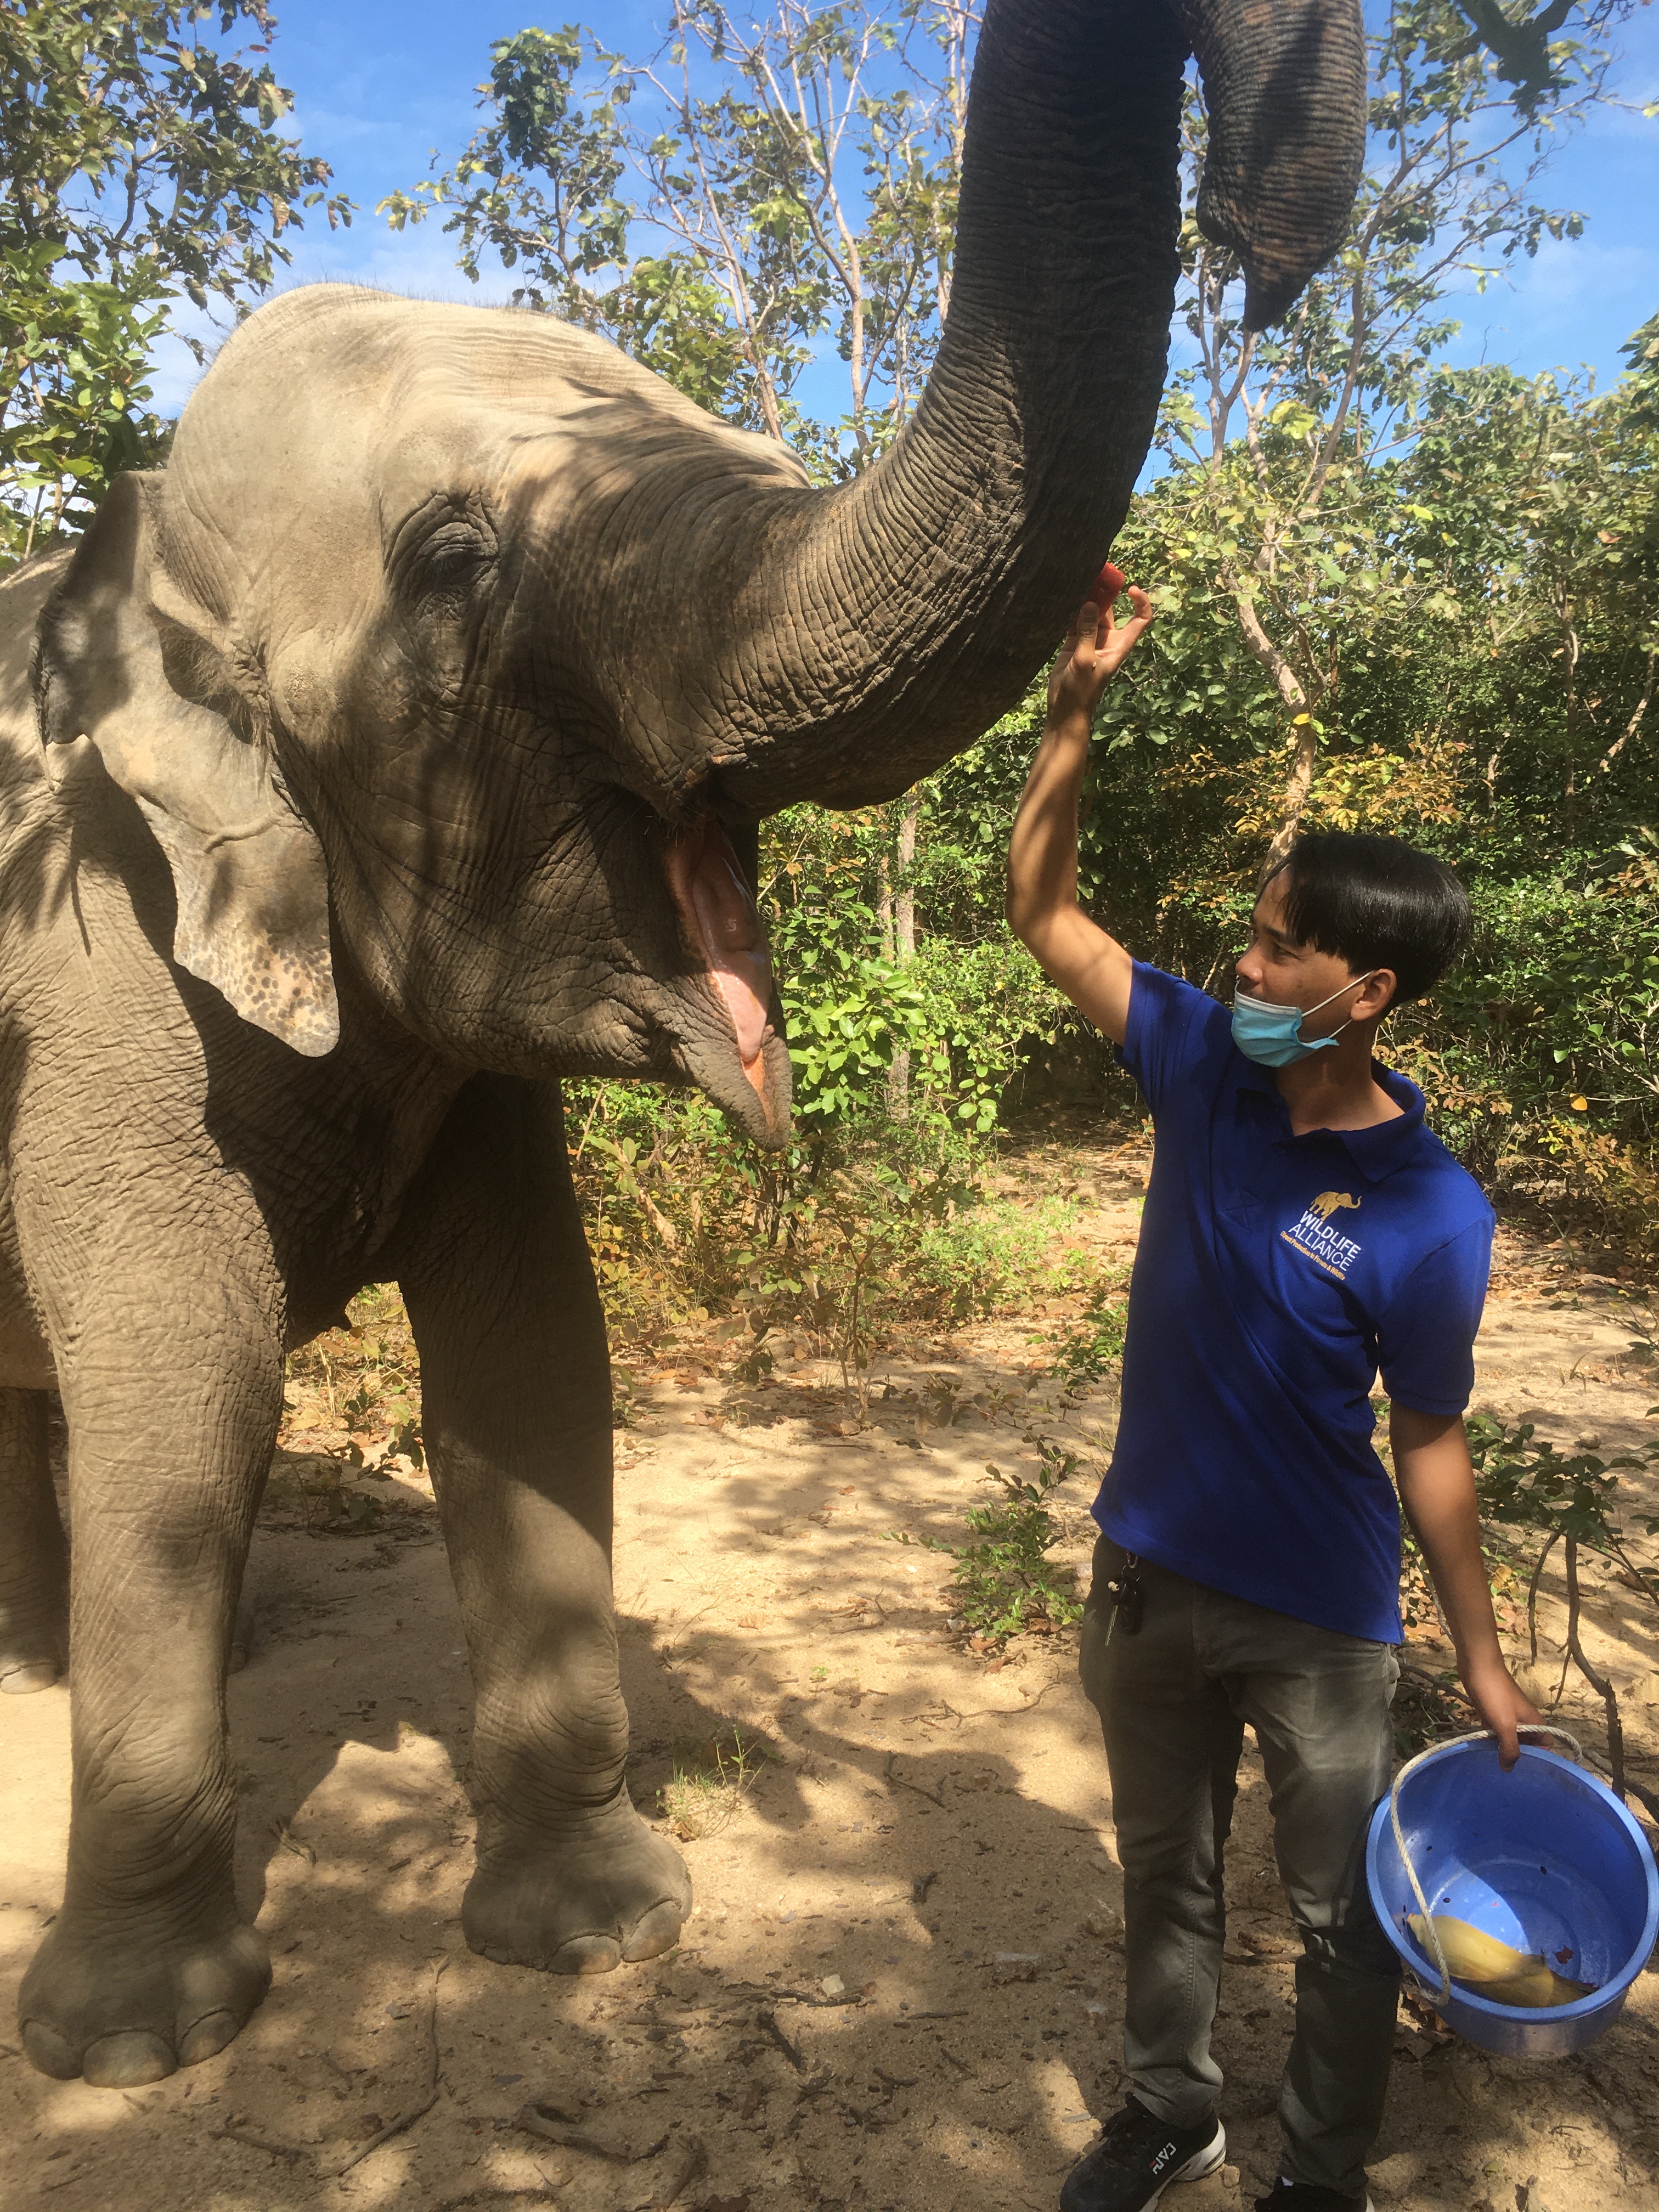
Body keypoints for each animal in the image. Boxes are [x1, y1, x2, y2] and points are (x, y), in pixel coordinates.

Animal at [0, 0, 1365, 2087]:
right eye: (455, 553)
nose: (1266, 252)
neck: (130, 551)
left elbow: (530, 1350)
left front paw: (598, 1934)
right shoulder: (102, 984)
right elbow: (187, 1379)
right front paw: (139, 2050)